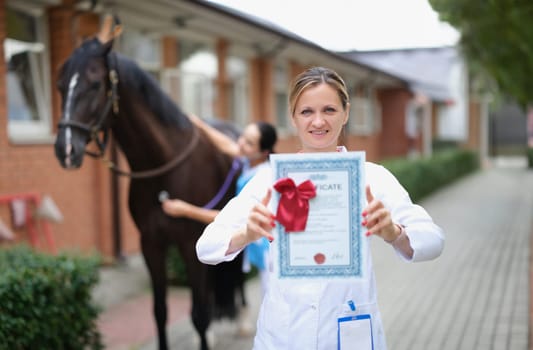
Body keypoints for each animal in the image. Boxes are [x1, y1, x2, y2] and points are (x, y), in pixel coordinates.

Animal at [53, 18, 244, 350]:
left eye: (95, 84)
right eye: (61, 86)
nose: (65, 148)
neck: (162, 168)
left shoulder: (187, 244)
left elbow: (198, 315)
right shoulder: (150, 244)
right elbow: (160, 311)